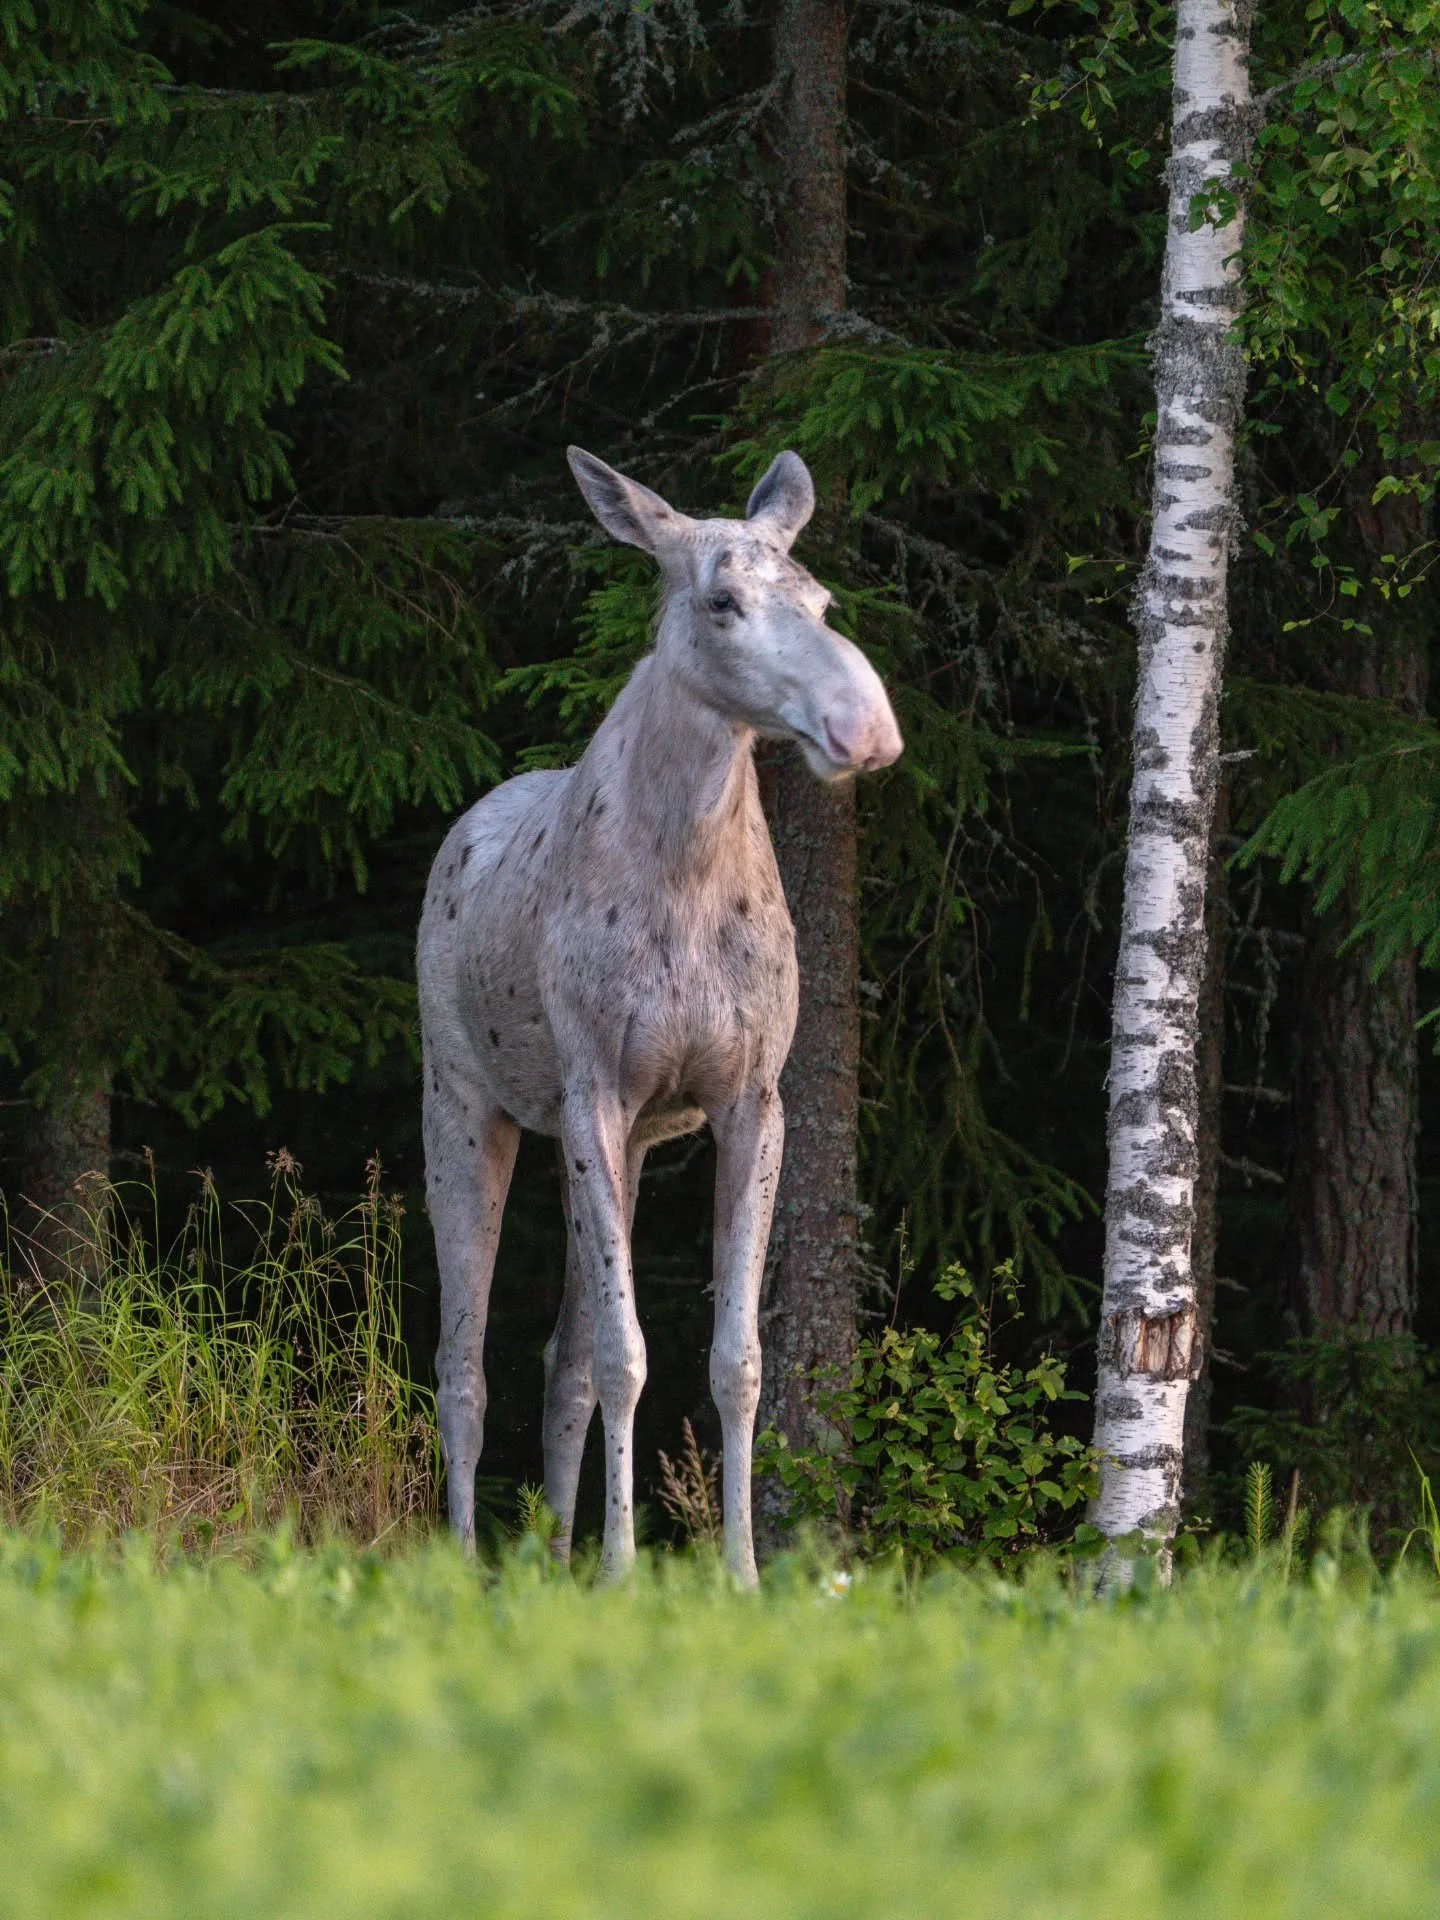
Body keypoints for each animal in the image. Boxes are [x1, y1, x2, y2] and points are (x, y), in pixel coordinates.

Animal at [417, 446, 903, 1584]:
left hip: (619, 1141)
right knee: (463, 1358)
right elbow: (631, 1355)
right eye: (722, 601)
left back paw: (552, 1553)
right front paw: (625, 1565)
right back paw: (465, 1556)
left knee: (560, 1359)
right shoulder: (593, 1091)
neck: (685, 865)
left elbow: (732, 1358)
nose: (865, 726)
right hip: (462, 1102)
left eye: (822, 600)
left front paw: (738, 1571)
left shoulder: (749, 1098)